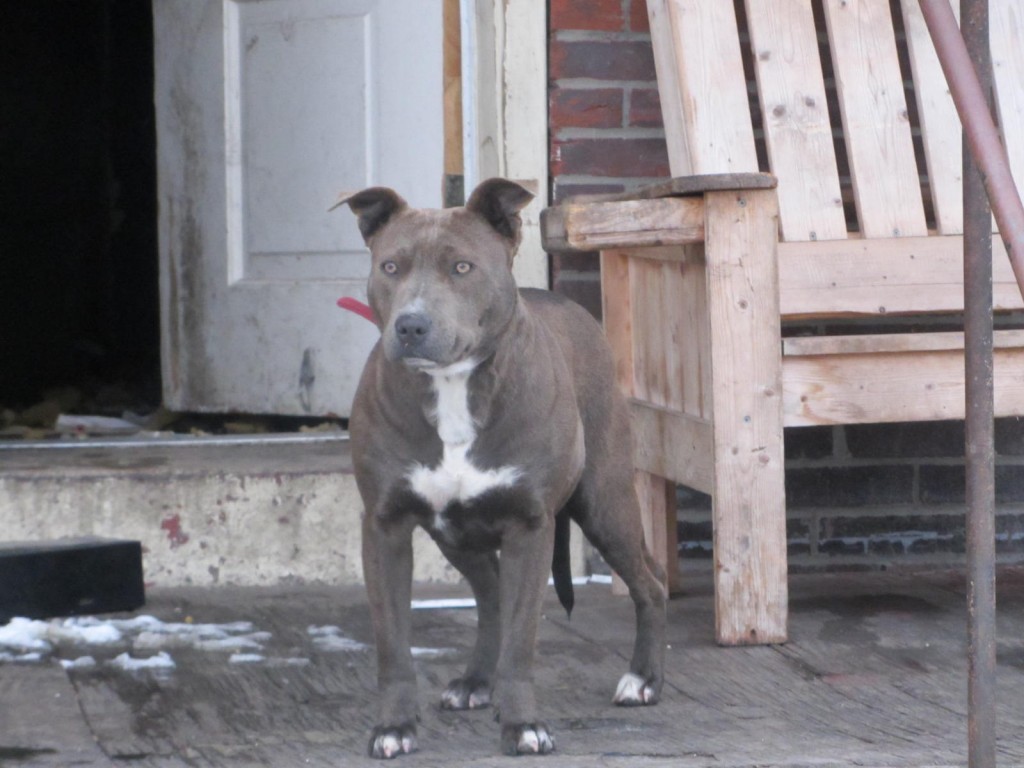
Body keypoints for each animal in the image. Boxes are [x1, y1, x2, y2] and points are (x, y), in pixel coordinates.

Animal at [335, 179, 667, 757]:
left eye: (462, 267)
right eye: (391, 266)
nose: (411, 324)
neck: (453, 386)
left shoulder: (529, 527)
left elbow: (521, 640)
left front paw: (523, 724)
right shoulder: (385, 528)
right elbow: (393, 645)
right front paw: (394, 727)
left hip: (606, 505)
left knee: (648, 583)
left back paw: (642, 679)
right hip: (454, 533)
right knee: (489, 593)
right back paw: (475, 681)